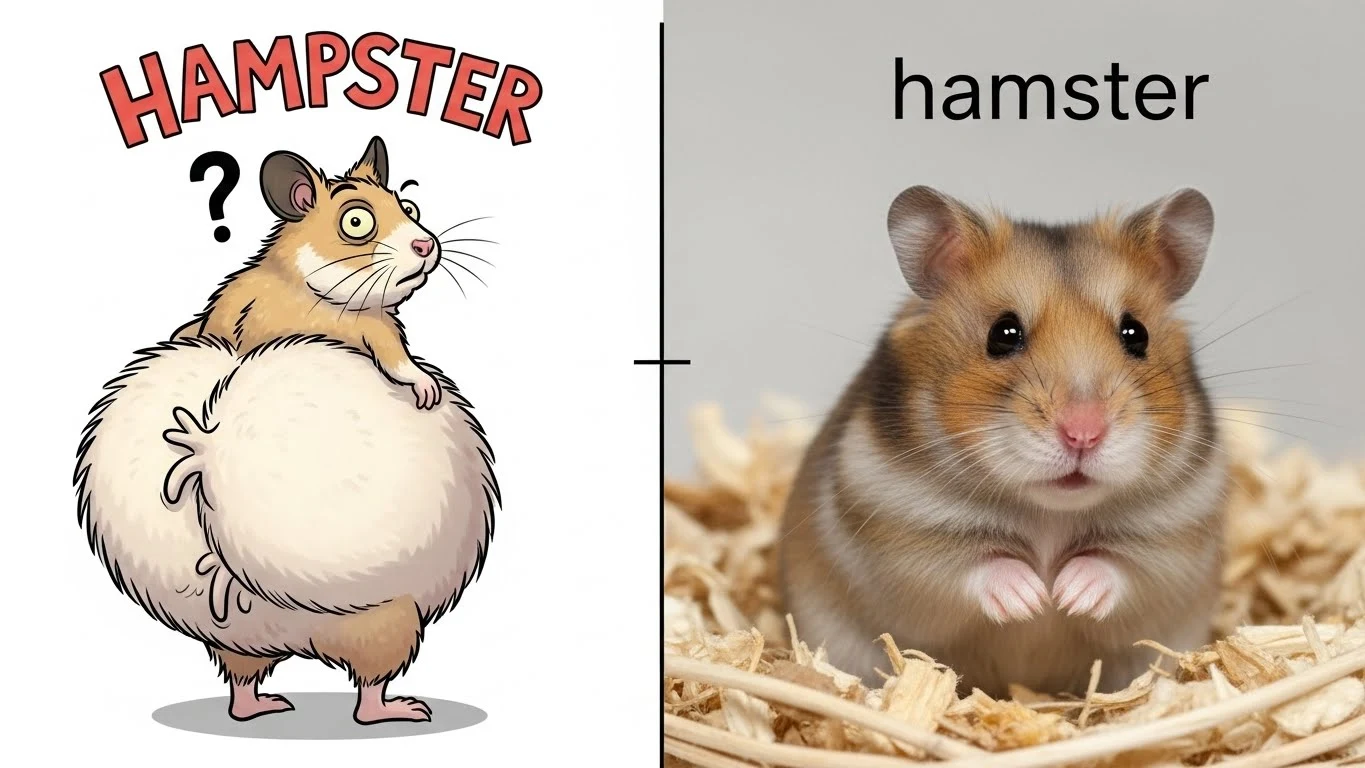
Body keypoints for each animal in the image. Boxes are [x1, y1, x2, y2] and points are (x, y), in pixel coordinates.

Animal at [172, 136, 446, 409]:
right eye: (356, 222)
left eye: (409, 209)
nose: (426, 245)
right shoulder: (371, 332)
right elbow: (399, 362)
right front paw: (429, 389)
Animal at [777, 185, 1226, 697]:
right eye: (1003, 333)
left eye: (1136, 333)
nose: (1084, 433)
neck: (1051, 512)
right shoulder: (899, 540)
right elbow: (976, 568)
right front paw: (1031, 600)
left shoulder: (1174, 545)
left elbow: (1117, 568)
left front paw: (1068, 596)